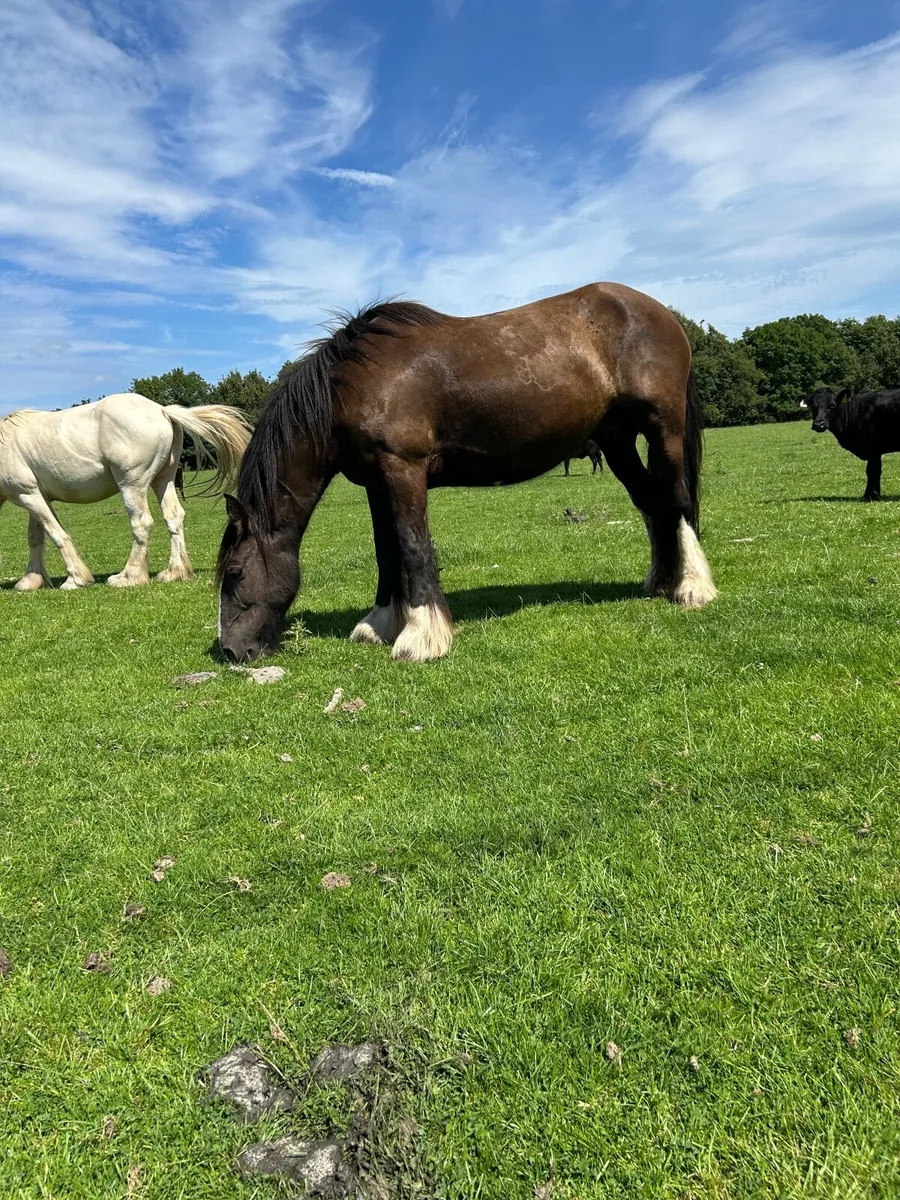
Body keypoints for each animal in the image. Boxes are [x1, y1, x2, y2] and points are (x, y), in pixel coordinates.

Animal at [0, 394, 251, 590]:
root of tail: (161, 410)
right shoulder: (35, 497)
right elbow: (36, 538)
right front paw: (31, 580)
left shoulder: (29, 496)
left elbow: (56, 534)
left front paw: (75, 579)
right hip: (163, 481)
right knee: (174, 518)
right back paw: (174, 572)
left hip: (132, 485)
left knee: (142, 523)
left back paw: (129, 576)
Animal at [217, 283, 717, 664]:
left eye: (235, 573)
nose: (232, 652)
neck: (353, 385)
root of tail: (660, 312)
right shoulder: (377, 483)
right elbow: (386, 552)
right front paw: (380, 623)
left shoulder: (403, 470)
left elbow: (413, 548)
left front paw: (421, 637)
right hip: (616, 442)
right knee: (652, 504)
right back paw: (661, 582)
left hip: (664, 429)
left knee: (677, 502)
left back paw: (692, 587)